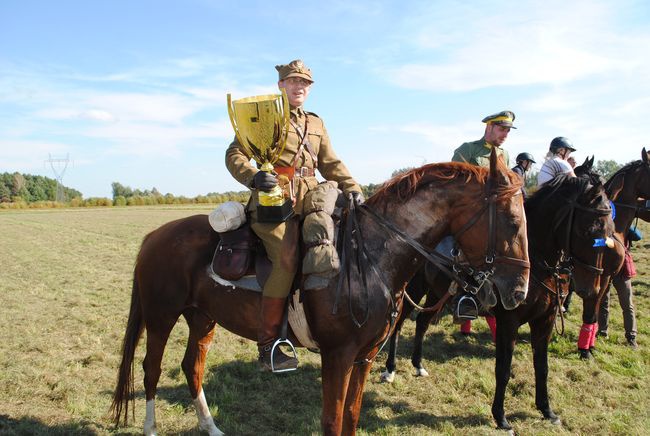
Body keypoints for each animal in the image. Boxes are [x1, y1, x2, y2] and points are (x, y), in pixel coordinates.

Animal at [110, 150, 528, 436]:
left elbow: (351, 417)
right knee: (150, 370)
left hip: (203, 318)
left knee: (191, 368)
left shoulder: (364, 358)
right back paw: (150, 428)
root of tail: (156, 235)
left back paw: (211, 427)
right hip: (161, 316)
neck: (369, 258)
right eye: (511, 221)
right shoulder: (337, 357)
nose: (518, 290)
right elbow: (332, 420)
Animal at [380, 173, 612, 430]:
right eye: (591, 229)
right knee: (399, 323)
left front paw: (547, 410)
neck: (535, 260)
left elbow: (542, 367)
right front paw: (501, 417)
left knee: (422, 321)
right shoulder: (508, 322)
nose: (592, 288)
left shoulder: (545, 320)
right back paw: (390, 369)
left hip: (437, 293)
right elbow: (503, 369)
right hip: (415, 288)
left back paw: (418, 365)